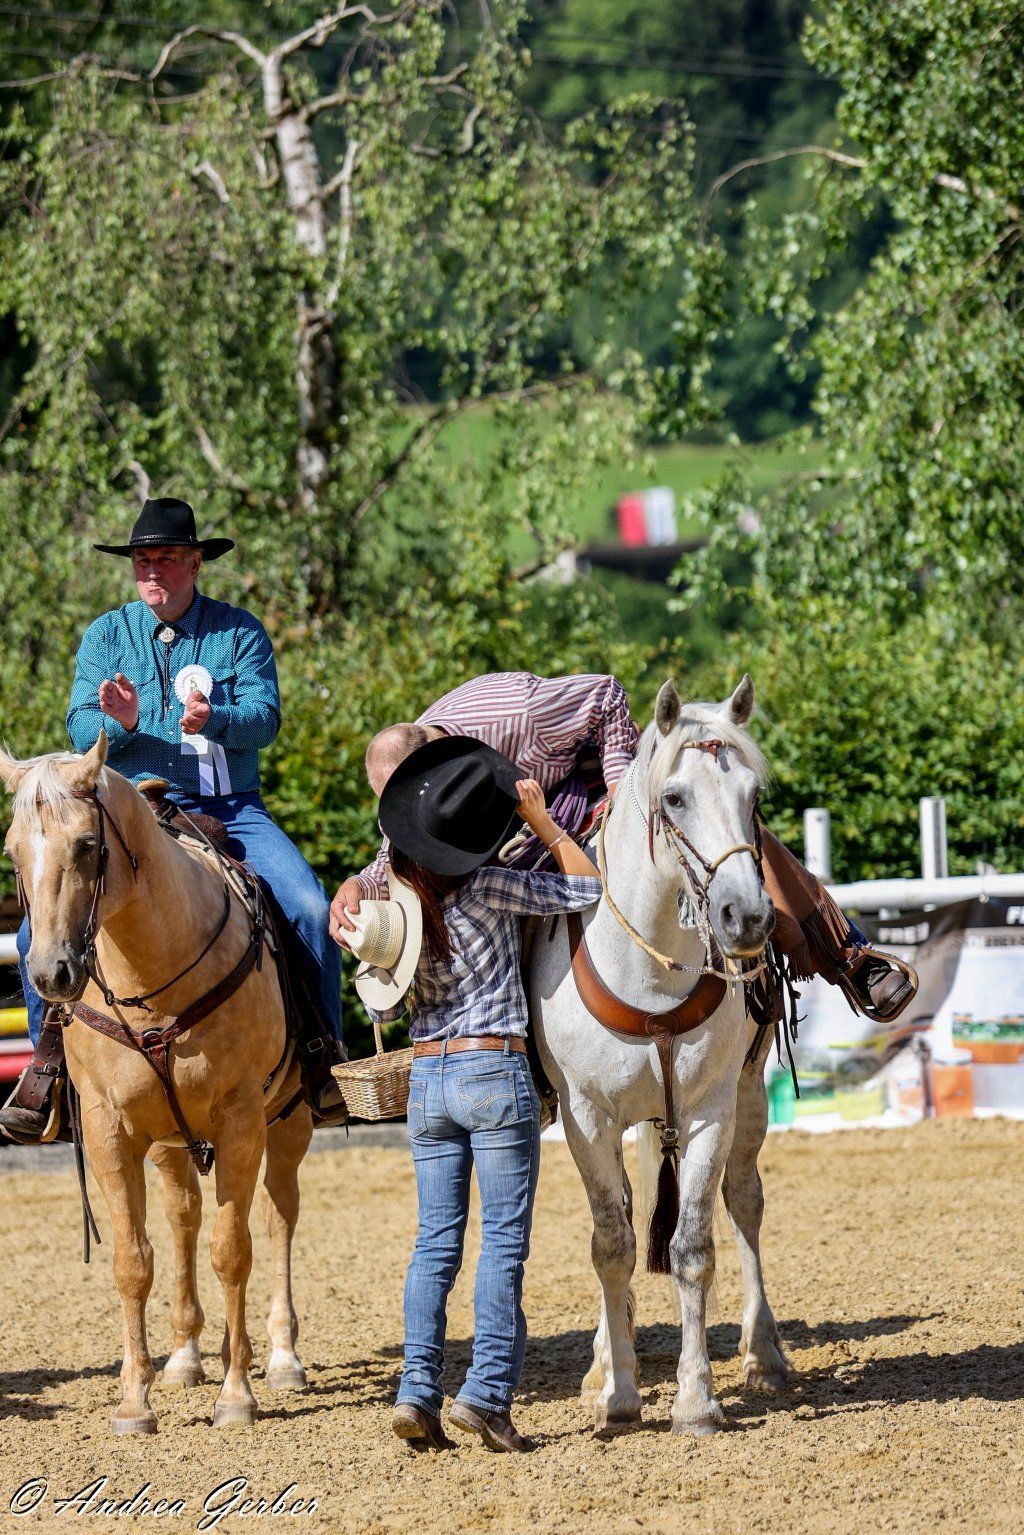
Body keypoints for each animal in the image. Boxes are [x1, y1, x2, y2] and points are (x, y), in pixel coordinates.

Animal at [0, 733, 314, 1434]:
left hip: (289, 1124)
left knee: (277, 1217)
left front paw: (237, 1395)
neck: (153, 974)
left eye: (87, 844)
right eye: (12, 850)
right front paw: (135, 1400)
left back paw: (279, 1357)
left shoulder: (241, 1120)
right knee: (183, 1217)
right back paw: (188, 1356)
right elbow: (133, 1260)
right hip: (172, 1143)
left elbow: (233, 1249)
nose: (53, 973)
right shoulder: (108, 1130)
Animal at [531, 675, 789, 1435]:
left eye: (753, 797)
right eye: (673, 797)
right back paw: (601, 1365)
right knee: (616, 1217)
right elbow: (611, 1245)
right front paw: (619, 1393)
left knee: (744, 1201)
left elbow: (693, 1248)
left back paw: (764, 1353)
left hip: (748, 1097)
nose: (746, 917)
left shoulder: (708, 1112)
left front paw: (696, 1399)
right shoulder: (587, 1118)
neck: (647, 973)